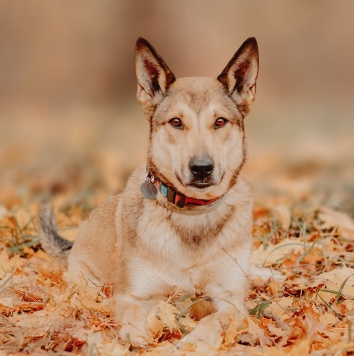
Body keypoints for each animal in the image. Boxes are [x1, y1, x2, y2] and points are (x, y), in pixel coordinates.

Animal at [39, 36, 260, 348]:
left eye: (220, 122)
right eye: (176, 122)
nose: (201, 168)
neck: (192, 214)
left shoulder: (232, 301)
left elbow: (215, 319)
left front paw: (194, 341)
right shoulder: (132, 294)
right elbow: (132, 313)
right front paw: (137, 335)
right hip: (89, 281)